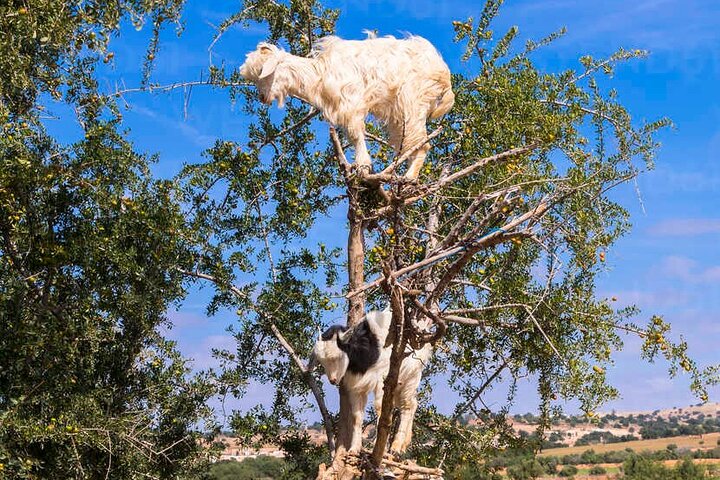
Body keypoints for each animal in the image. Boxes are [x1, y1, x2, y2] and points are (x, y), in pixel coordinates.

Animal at [239, 33, 454, 180]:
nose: (262, 97)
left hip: (413, 102)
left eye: (263, 71)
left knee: (422, 143)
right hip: (399, 115)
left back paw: (408, 178)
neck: (320, 73)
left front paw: (363, 167)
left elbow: (356, 135)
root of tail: (444, 74)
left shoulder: (351, 103)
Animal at [312, 309, 431, 453]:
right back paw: (404, 444)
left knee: (407, 406)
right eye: (322, 361)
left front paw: (380, 448)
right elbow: (356, 417)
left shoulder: (382, 379)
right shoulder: (356, 386)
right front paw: (354, 449)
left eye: (336, 357)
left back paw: (396, 446)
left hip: (412, 375)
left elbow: (380, 407)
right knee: (413, 403)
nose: (333, 380)